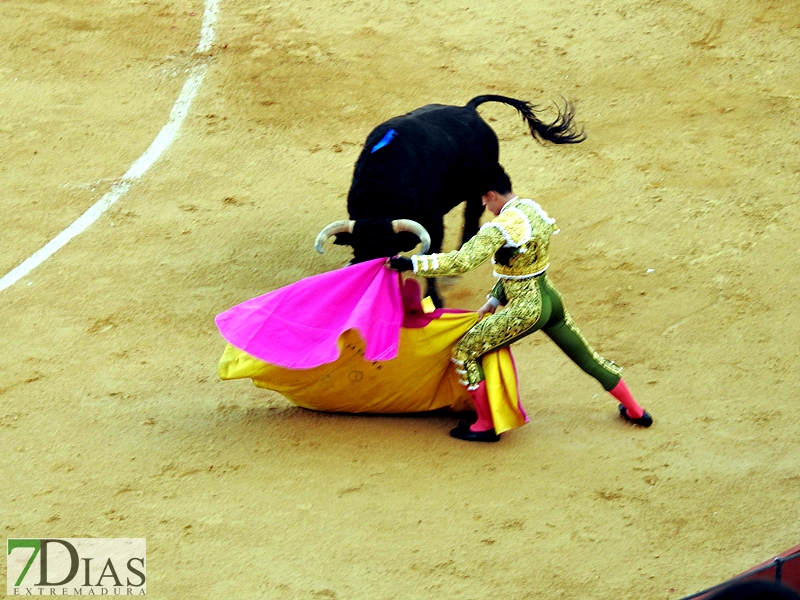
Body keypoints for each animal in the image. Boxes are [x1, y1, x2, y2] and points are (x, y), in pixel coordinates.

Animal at [316, 94, 584, 310]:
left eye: (387, 252)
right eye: (357, 250)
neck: (382, 189)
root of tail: (469, 109)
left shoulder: (433, 224)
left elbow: (431, 256)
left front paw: (434, 300)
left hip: (478, 191)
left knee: (472, 218)